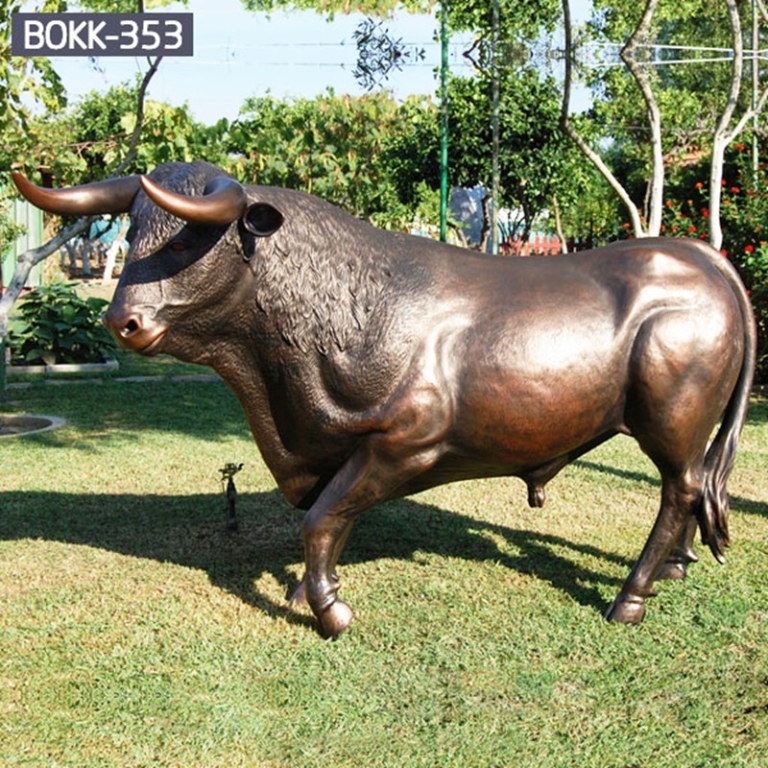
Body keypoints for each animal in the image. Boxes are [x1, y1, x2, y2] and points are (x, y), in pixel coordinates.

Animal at [12, 161, 756, 639]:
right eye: (134, 228)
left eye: (194, 236)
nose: (122, 322)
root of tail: (703, 257)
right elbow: (325, 520)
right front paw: (304, 590)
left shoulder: (405, 442)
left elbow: (320, 521)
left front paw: (330, 612)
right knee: (690, 489)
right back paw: (674, 570)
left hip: (671, 417)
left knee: (679, 492)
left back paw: (630, 597)